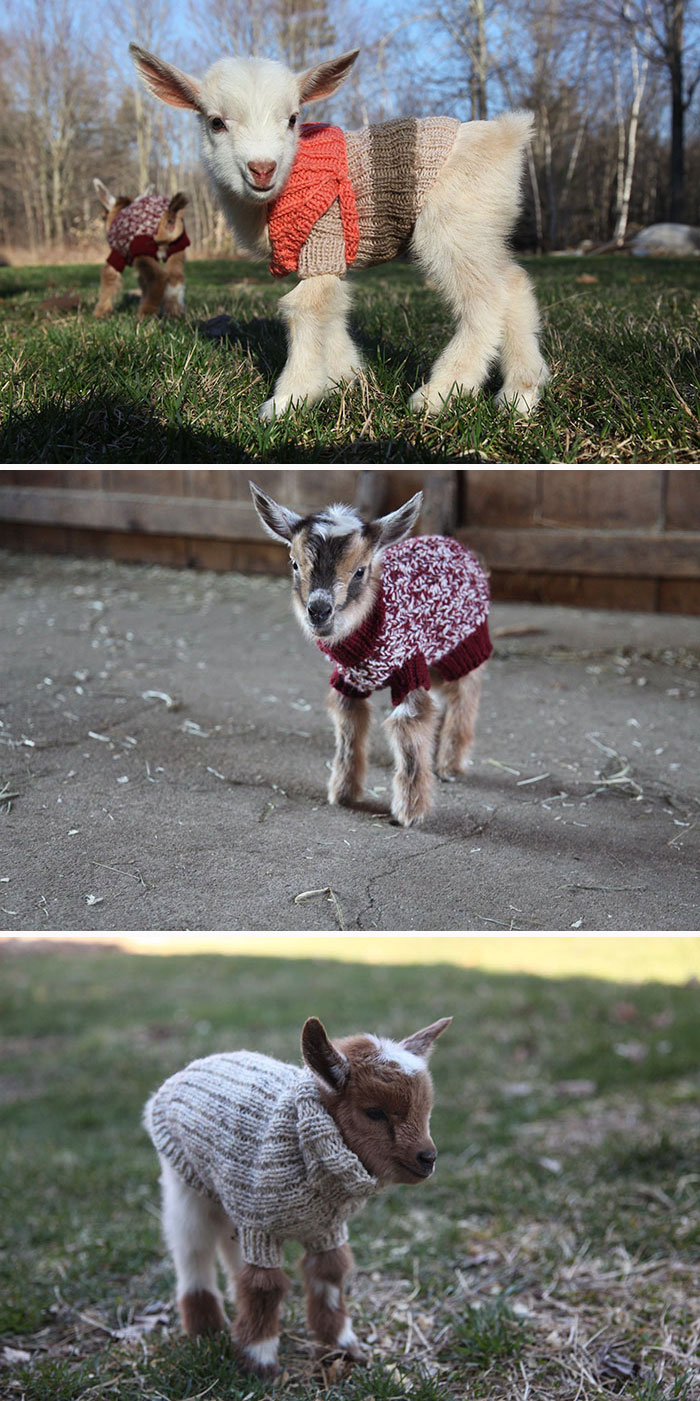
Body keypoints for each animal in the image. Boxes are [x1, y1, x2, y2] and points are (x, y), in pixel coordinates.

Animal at [128, 40, 548, 417]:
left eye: (293, 119)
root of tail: (508, 136)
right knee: (513, 284)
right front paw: (346, 378)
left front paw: (289, 399)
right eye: (216, 122)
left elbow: (305, 307)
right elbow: (333, 308)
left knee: (485, 299)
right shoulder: (326, 257)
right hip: (482, 230)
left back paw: (440, 394)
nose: (262, 168)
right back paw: (521, 394)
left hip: (452, 228)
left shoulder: (322, 238)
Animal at [144, 1014, 450, 1372]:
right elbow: (263, 1286)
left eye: (425, 1110)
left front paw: (342, 1347)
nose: (428, 1158)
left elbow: (329, 1274)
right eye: (374, 1112)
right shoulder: (260, 1226)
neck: (303, 1141)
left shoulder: (325, 1228)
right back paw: (206, 1328)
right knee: (192, 1248)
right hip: (184, 1180)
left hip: (228, 1191)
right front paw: (260, 1361)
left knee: (227, 1243)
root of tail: (190, 1068)